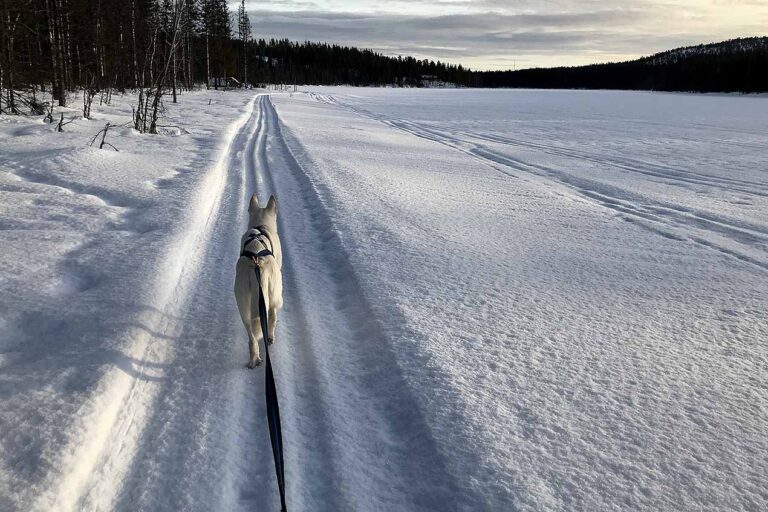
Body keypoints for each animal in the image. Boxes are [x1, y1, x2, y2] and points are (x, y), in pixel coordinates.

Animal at [234, 193, 284, 368]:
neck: (260, 225)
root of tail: (256, 265)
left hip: (242, 304)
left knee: (252, 337)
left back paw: (254, 359)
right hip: (275, 294)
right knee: (272, 317)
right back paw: (270, 338)